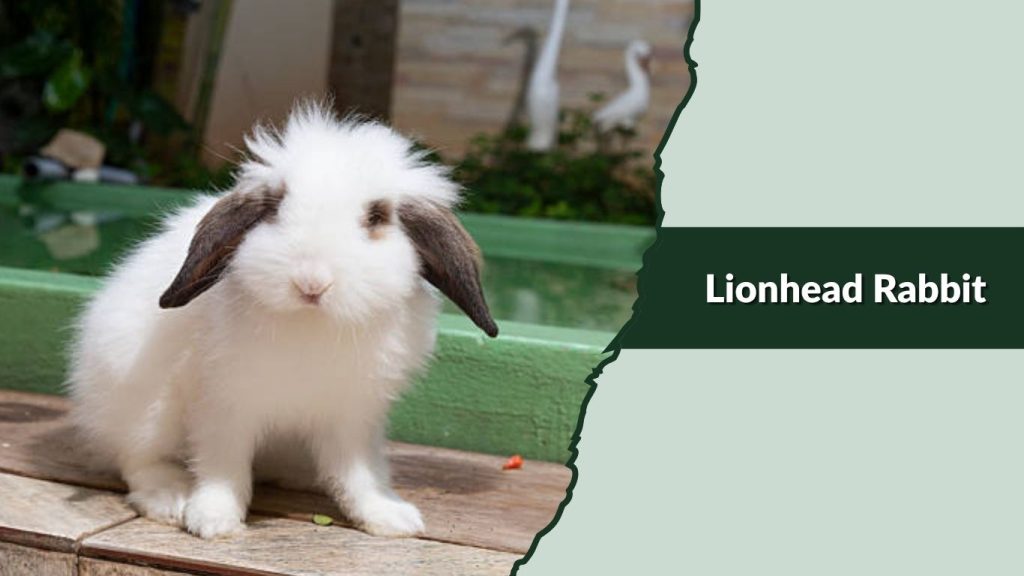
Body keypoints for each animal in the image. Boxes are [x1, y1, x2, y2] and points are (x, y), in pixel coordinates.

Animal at [67, 101, 498, 540]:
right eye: (274, 207)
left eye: (377, 216)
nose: (312, 282)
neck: (312, 325)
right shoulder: (224, 406)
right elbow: (223, 466)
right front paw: (213, 520)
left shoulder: (352, 418)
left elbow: (358, 474)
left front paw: (388, 517)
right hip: (146, 412)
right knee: (138, 461)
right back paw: (169, 498)